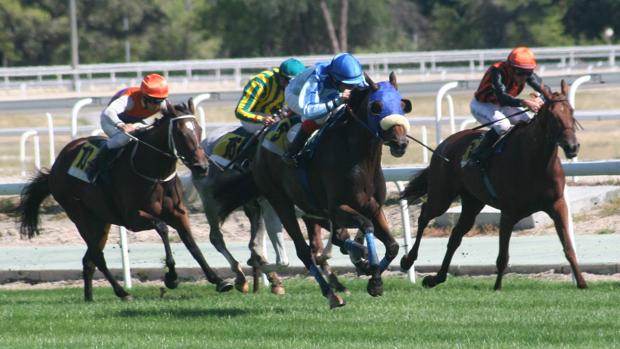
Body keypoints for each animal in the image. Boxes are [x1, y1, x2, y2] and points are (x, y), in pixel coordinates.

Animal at [14, 98, 234, 300]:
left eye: (199, 129)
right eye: (180, 133)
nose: (202, 167)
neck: (155, 172)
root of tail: (56, 166)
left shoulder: (179, 213)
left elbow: (192, 245)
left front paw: (219, 280)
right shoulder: (133, 219)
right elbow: (162, 227)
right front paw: (171, 277)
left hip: (101, 221)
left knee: (88, 259)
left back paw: (89, 297)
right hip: (80, 216)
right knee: (97, 256)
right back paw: (122, 292)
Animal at [213, 72, 412, 306]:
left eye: (402, 104)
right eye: (376, 106)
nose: (400, 143)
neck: (360, 161)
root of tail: (260, 143)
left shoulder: (374, 208)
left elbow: (392, 246)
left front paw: (374, 280)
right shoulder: (338, 208)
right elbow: (366, 225)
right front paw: (371, 270)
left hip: (311, 210)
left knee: (331, 241)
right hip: (280, 202)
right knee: (304, 251)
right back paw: (331, 294)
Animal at [400, 80, 588, 290]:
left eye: (572, 112)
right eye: (553, 116)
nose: (572, 147)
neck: (535, 161)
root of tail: (444, 144)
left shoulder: (557, 205)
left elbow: (569, 248)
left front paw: (582, 283)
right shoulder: (508, 213)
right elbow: (502, 257)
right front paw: (497, 288)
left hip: (472, 202)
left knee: (455, 235)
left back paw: (436, 278)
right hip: (442, 194)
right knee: (425, 215)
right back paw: (408, 260)